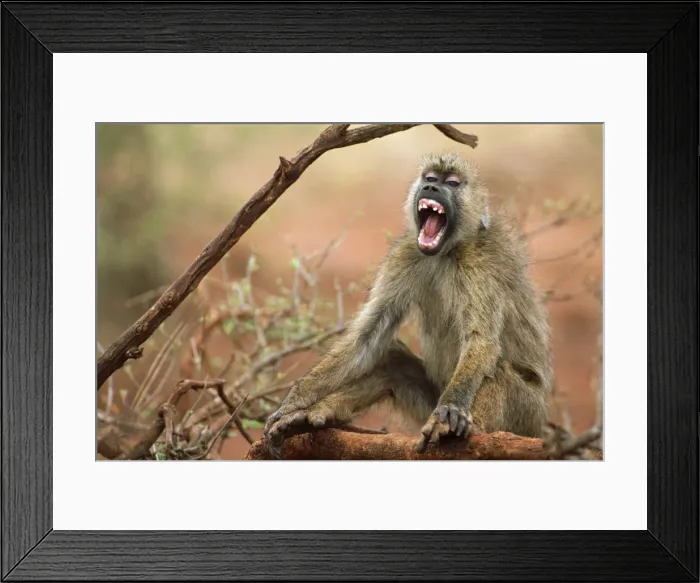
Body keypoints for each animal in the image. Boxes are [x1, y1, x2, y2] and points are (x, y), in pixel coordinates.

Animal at [263, 152, 553, 458]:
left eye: (452, 182)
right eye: (430, 178)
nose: (431, 188)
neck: (446, 252)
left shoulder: (479, 264)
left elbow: (481, 341)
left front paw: (450, 411)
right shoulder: (404, 254)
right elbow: (367, 335)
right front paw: (293, 403)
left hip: (526, 413)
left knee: (496, 370)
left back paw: (467, 431)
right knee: (393, 362)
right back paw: (320, 414)